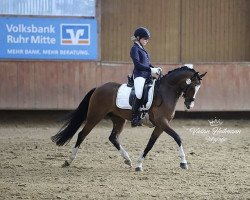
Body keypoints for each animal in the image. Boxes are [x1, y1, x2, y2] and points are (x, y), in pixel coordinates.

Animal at [51, 66, 207, 172]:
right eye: (193, 86)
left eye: (199, 88)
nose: (190, 104)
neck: (166, 91)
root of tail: (98, 88)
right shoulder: (162, 122)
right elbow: (177, 137)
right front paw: (183, 162)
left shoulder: (160, 125)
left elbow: (150, 144)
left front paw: (139, 164)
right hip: (95, 116)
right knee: (82, 134)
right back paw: (68, 161)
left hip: (118, 119)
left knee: (113, 138)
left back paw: (128, 160)